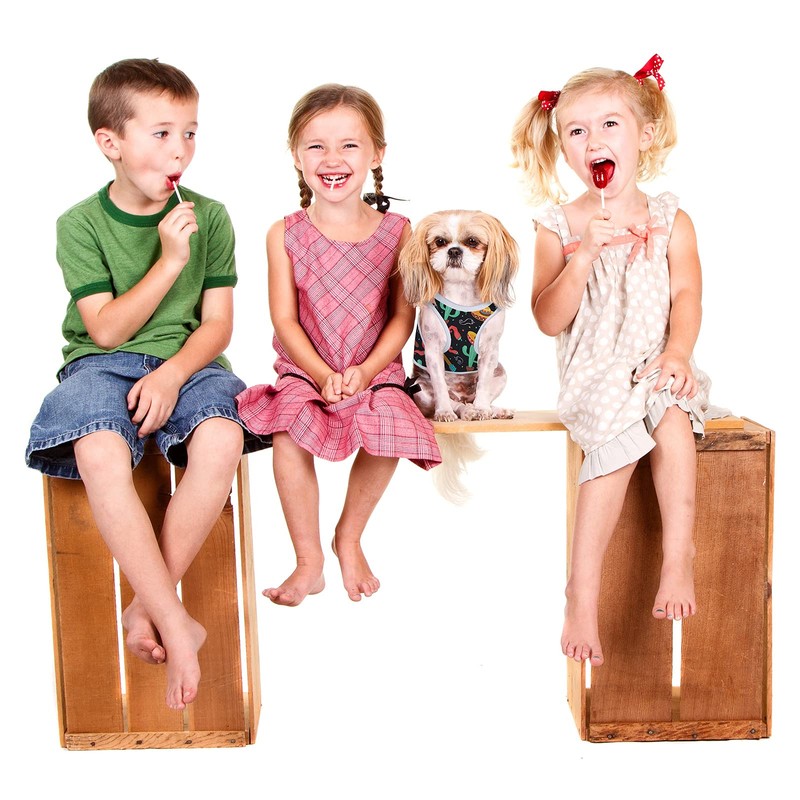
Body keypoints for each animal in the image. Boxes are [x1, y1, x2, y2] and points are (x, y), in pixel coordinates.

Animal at [398, 210, 519, 501]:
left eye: (472, 241)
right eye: (440, 242)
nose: (454, 251)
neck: (462, 295)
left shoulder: (489, 351)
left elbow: (484, 385)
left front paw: (484, 410)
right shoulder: (432, 351)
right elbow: (442, 387)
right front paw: (445, 413)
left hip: (502, 373)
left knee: (477, 397)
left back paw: (491, 410)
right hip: (420, 389)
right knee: (456, 402)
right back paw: (462, 411)